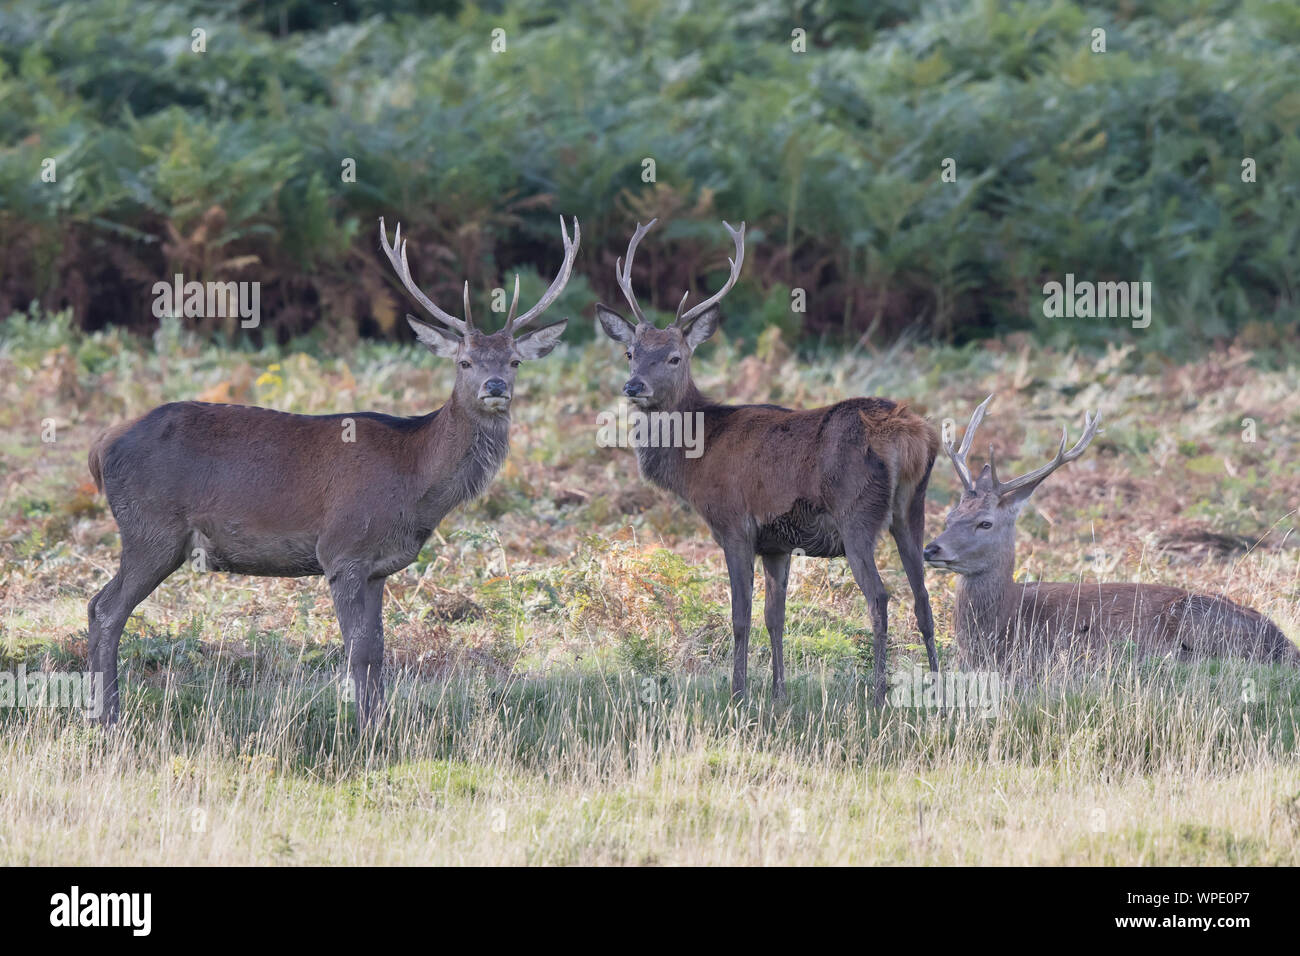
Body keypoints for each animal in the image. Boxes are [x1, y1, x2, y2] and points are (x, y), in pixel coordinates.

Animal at [86, 214, 579, 723]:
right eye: (464, 361)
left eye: (514, 361)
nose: (495, 385)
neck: (416, 482)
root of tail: (102, 446)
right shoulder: (342, 550)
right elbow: (358, 652)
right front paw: (362, 729)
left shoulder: (379, 567)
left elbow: (378, 651)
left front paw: (380, 722)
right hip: (151, 530)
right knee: (105, 609)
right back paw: (108, 716)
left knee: (98, 605)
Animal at [598, 221, 946, 707]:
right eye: (630, 353)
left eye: (674, 357)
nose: (634, 386)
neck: (696, 457)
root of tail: (911, 435)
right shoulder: (777, 543)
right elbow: (774, 617)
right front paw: (779, 692)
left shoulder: (733, 523)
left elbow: (741, 616)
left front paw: (738, 692)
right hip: (910, 509)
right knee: (923, 597)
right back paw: (938, 690)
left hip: (857, 512)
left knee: (880, 597)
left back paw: (878, 696)